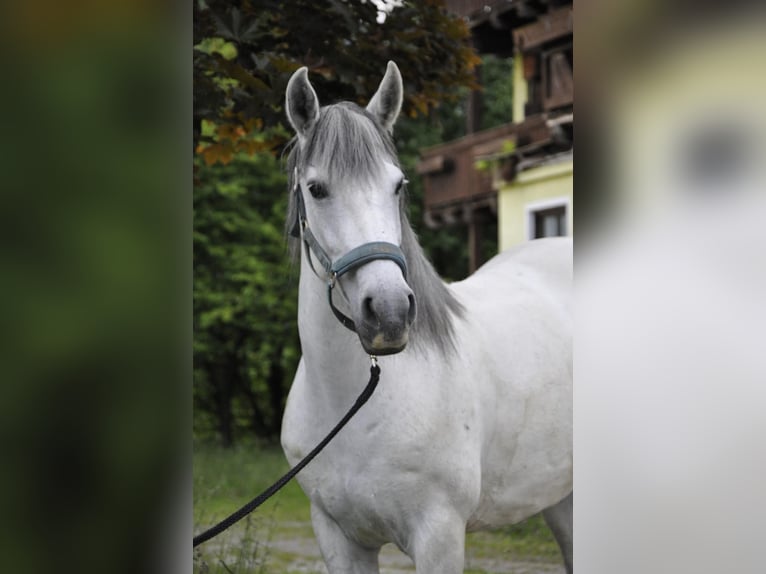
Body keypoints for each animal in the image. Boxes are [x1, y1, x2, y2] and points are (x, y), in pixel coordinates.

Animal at [280, 61, 573, 574]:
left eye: (398, 185)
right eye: (316, 189)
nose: (390, 311)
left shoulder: (439, 535)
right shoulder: (337, 537)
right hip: (559, 495)